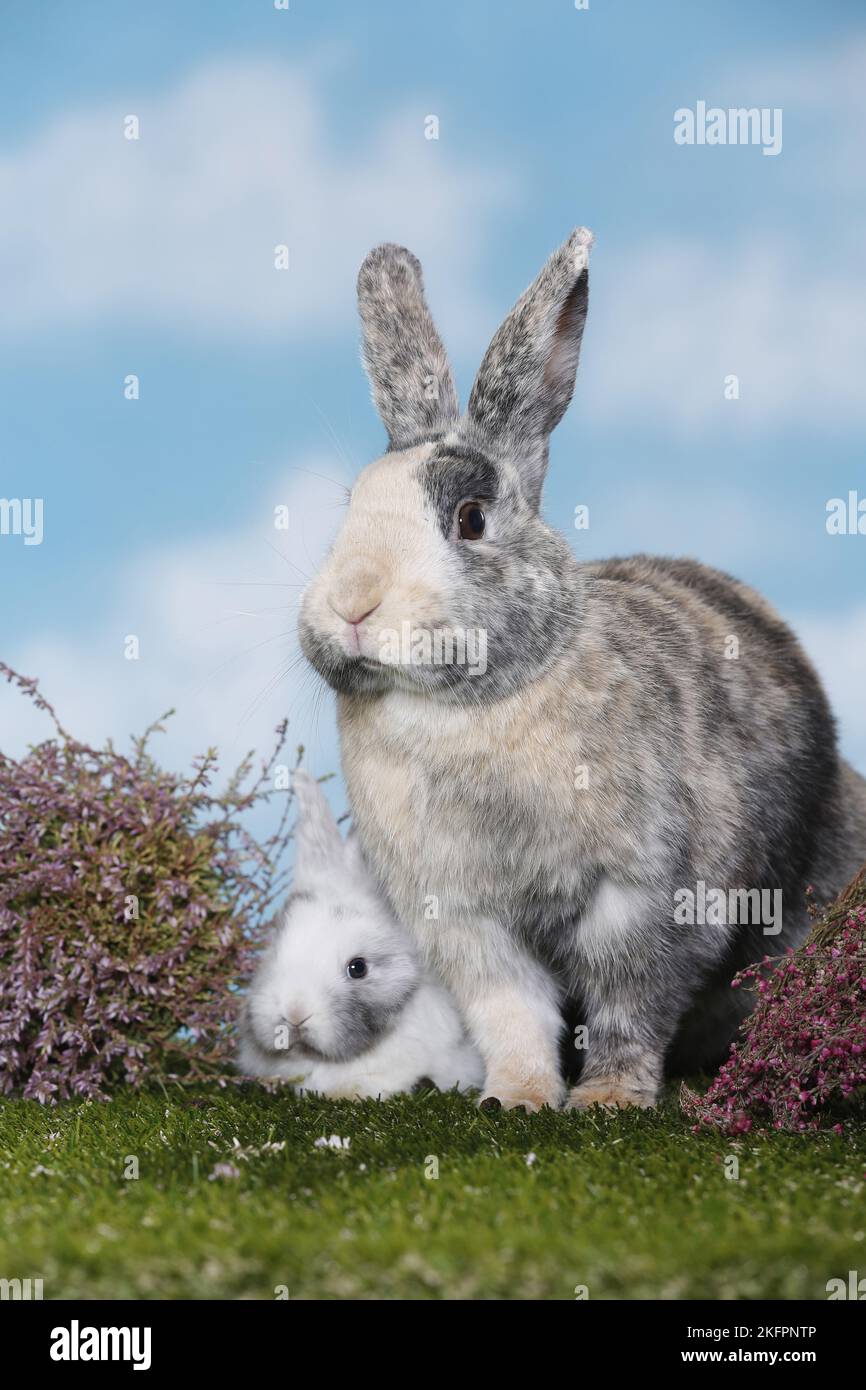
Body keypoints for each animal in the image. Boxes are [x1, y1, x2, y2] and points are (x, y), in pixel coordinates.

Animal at [296, 233, 866, 1112]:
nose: (354, 602)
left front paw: (608, 1100)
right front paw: (517, 1098)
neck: (474, 705)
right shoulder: (465, 921)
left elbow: (631, 1003)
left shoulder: (645, 898)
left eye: (469, 520)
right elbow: (509, 1011)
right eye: (349, 509)